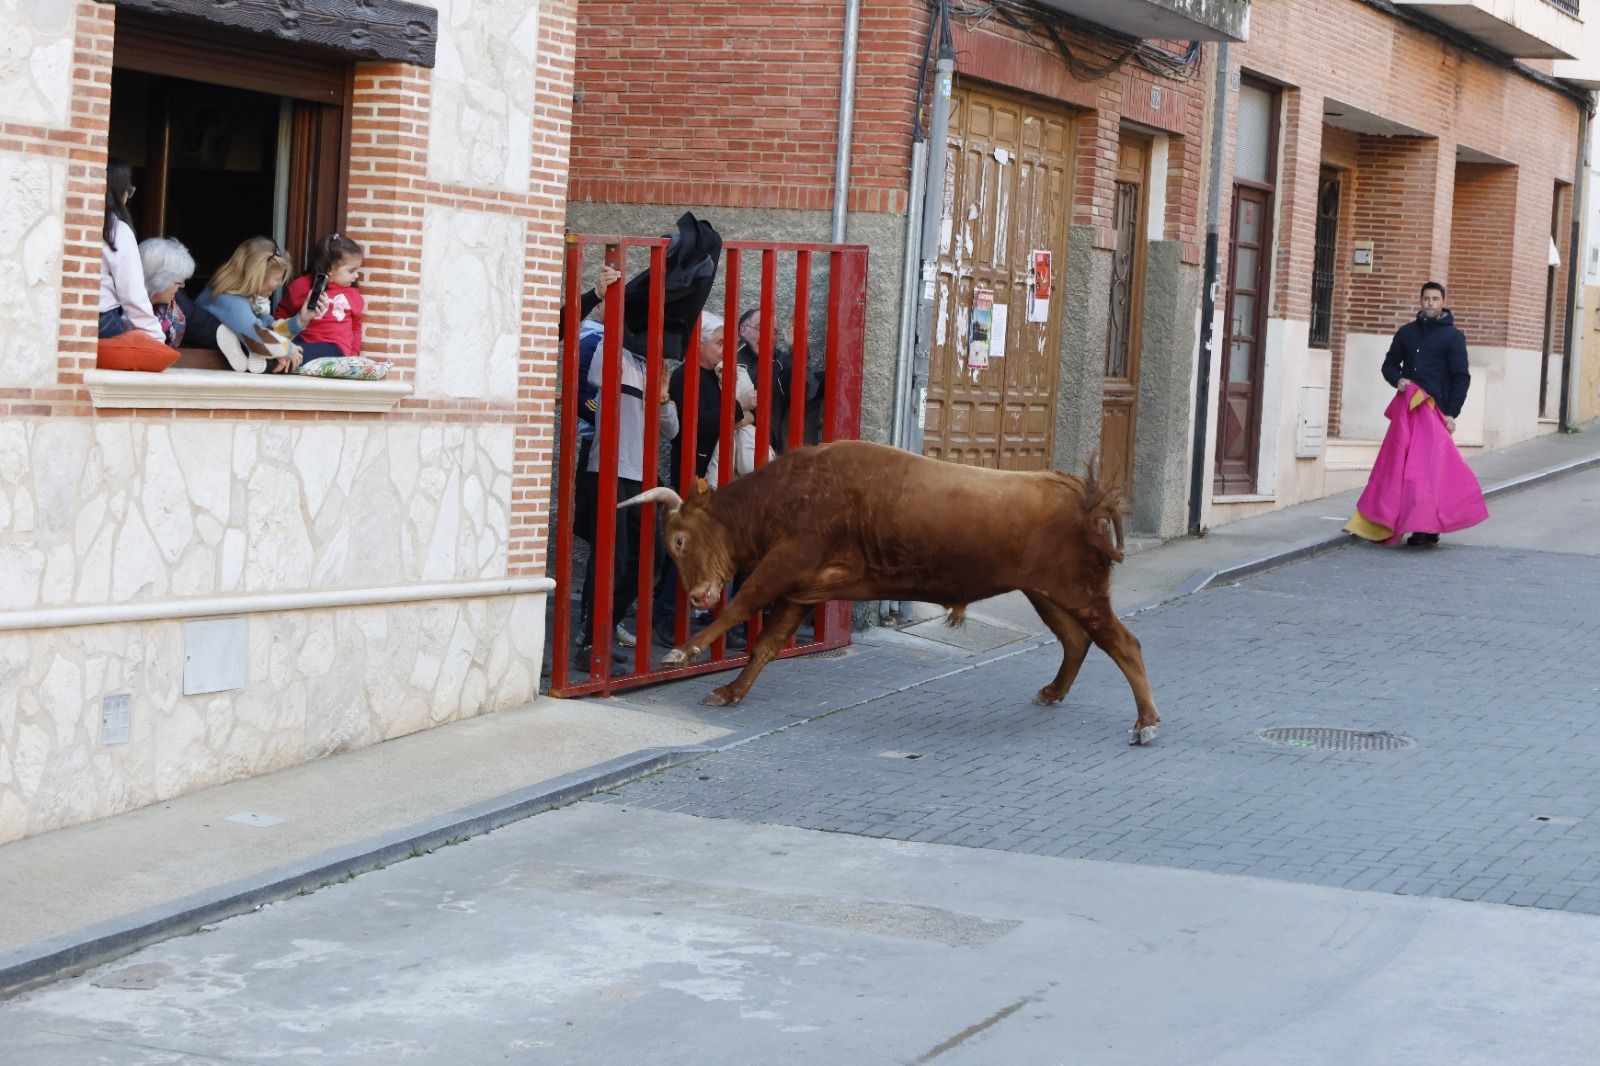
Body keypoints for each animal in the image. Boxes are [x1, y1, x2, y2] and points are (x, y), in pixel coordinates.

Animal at [620, 438, 1164, 739]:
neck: (785, 493)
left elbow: (742, 606)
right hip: (1048, 593)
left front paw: (682, 652)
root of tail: (1081, 493)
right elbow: (767, 644)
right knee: (1076, 640)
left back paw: (1146, 723)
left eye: (679, 540)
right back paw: (1053, 693)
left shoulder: (787, 563)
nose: (696, 596)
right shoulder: (803, 589)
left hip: (1078, 591)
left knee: (1125, 643)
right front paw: (730, 691)